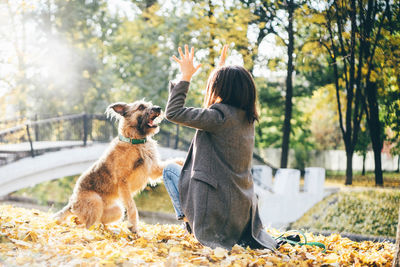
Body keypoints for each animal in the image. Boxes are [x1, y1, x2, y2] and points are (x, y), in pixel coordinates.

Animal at [53, 100, 180, 232]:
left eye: (150, 105)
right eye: (141, 107)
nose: (158, 108)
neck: (135, 141)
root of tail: (71, 203)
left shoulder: (153, 170)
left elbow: (173, 161)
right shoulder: (123, 182)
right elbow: (132, 206)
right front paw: (133, 227)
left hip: (118, 210)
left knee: (94, 222)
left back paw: (110, 230)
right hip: (96, 201)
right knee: (86, 226)